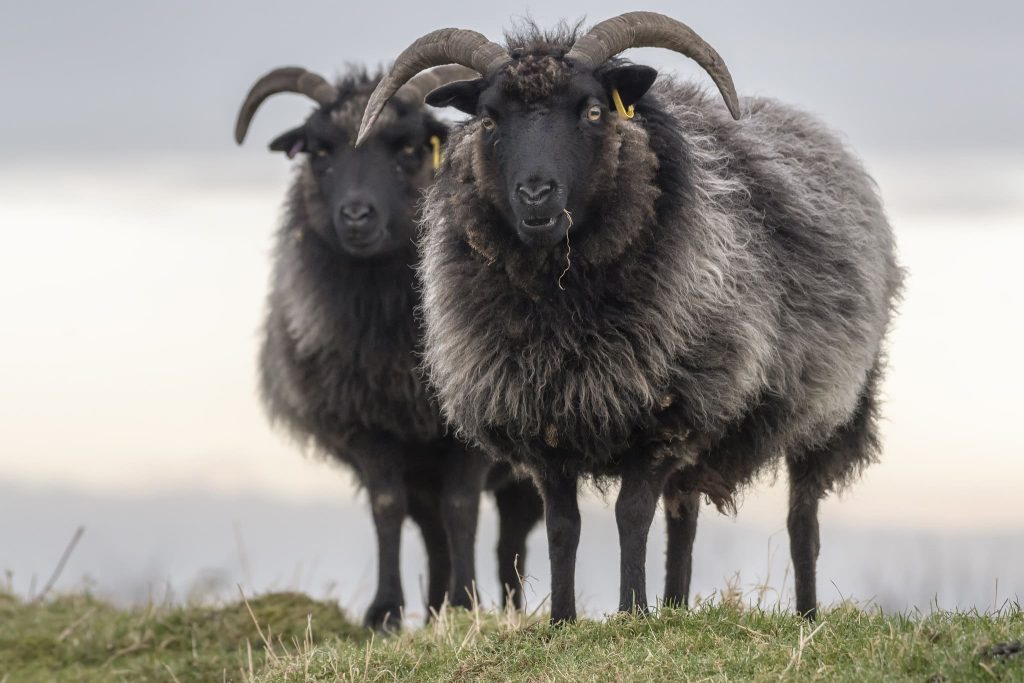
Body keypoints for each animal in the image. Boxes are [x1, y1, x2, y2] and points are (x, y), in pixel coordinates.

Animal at [234, 65, 544, 630]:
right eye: (320, 150)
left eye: (410, 148)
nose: (357, 216)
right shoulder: (369, 426)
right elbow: (386, 507)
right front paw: (385, 612)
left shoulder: (467, 431)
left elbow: (463, 505)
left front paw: (467, 603)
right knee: (432, 532)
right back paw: (435, 608)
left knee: (511, 536)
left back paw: (506, 607)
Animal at [358, 13, 905, 626]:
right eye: (490, 117)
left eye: (594, 111)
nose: (536, 193)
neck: (560, 309)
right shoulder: (541, 422)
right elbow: (563, 526)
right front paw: (564, 620)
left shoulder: (665, 414)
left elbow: (631, 514)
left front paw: (632, 613)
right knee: (684, 519)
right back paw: (677, 607)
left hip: (828, 405)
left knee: (801, 521)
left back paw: (806, 617)